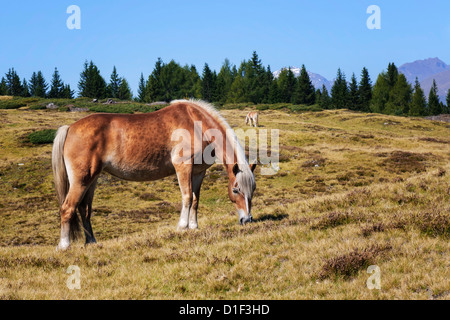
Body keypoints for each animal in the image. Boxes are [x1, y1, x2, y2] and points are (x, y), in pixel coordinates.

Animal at [51, 99, 256, 250]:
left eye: (252, 190)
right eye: (236, 190)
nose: (247, 219)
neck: (197, 124)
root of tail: (70, 128)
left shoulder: (199, 172)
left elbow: (196, 200)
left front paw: (194, 227)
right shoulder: (183, 167)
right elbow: (187, 197)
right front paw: (182, 226)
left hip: (91, 180)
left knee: (84, 209)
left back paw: (91, 242)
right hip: (81, 181)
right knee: (67, 208)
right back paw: (64, 245)